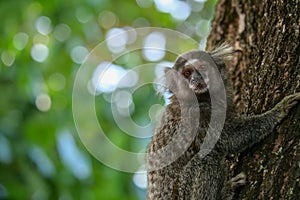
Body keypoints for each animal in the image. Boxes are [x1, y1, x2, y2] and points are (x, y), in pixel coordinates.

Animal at [146, 43, 300, 199]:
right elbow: (228, 139)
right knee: (206, 156)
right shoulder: (198, 115)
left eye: (202, 67)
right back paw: (225, 192)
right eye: (187, 73)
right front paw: (278, 110)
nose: (196, 79)